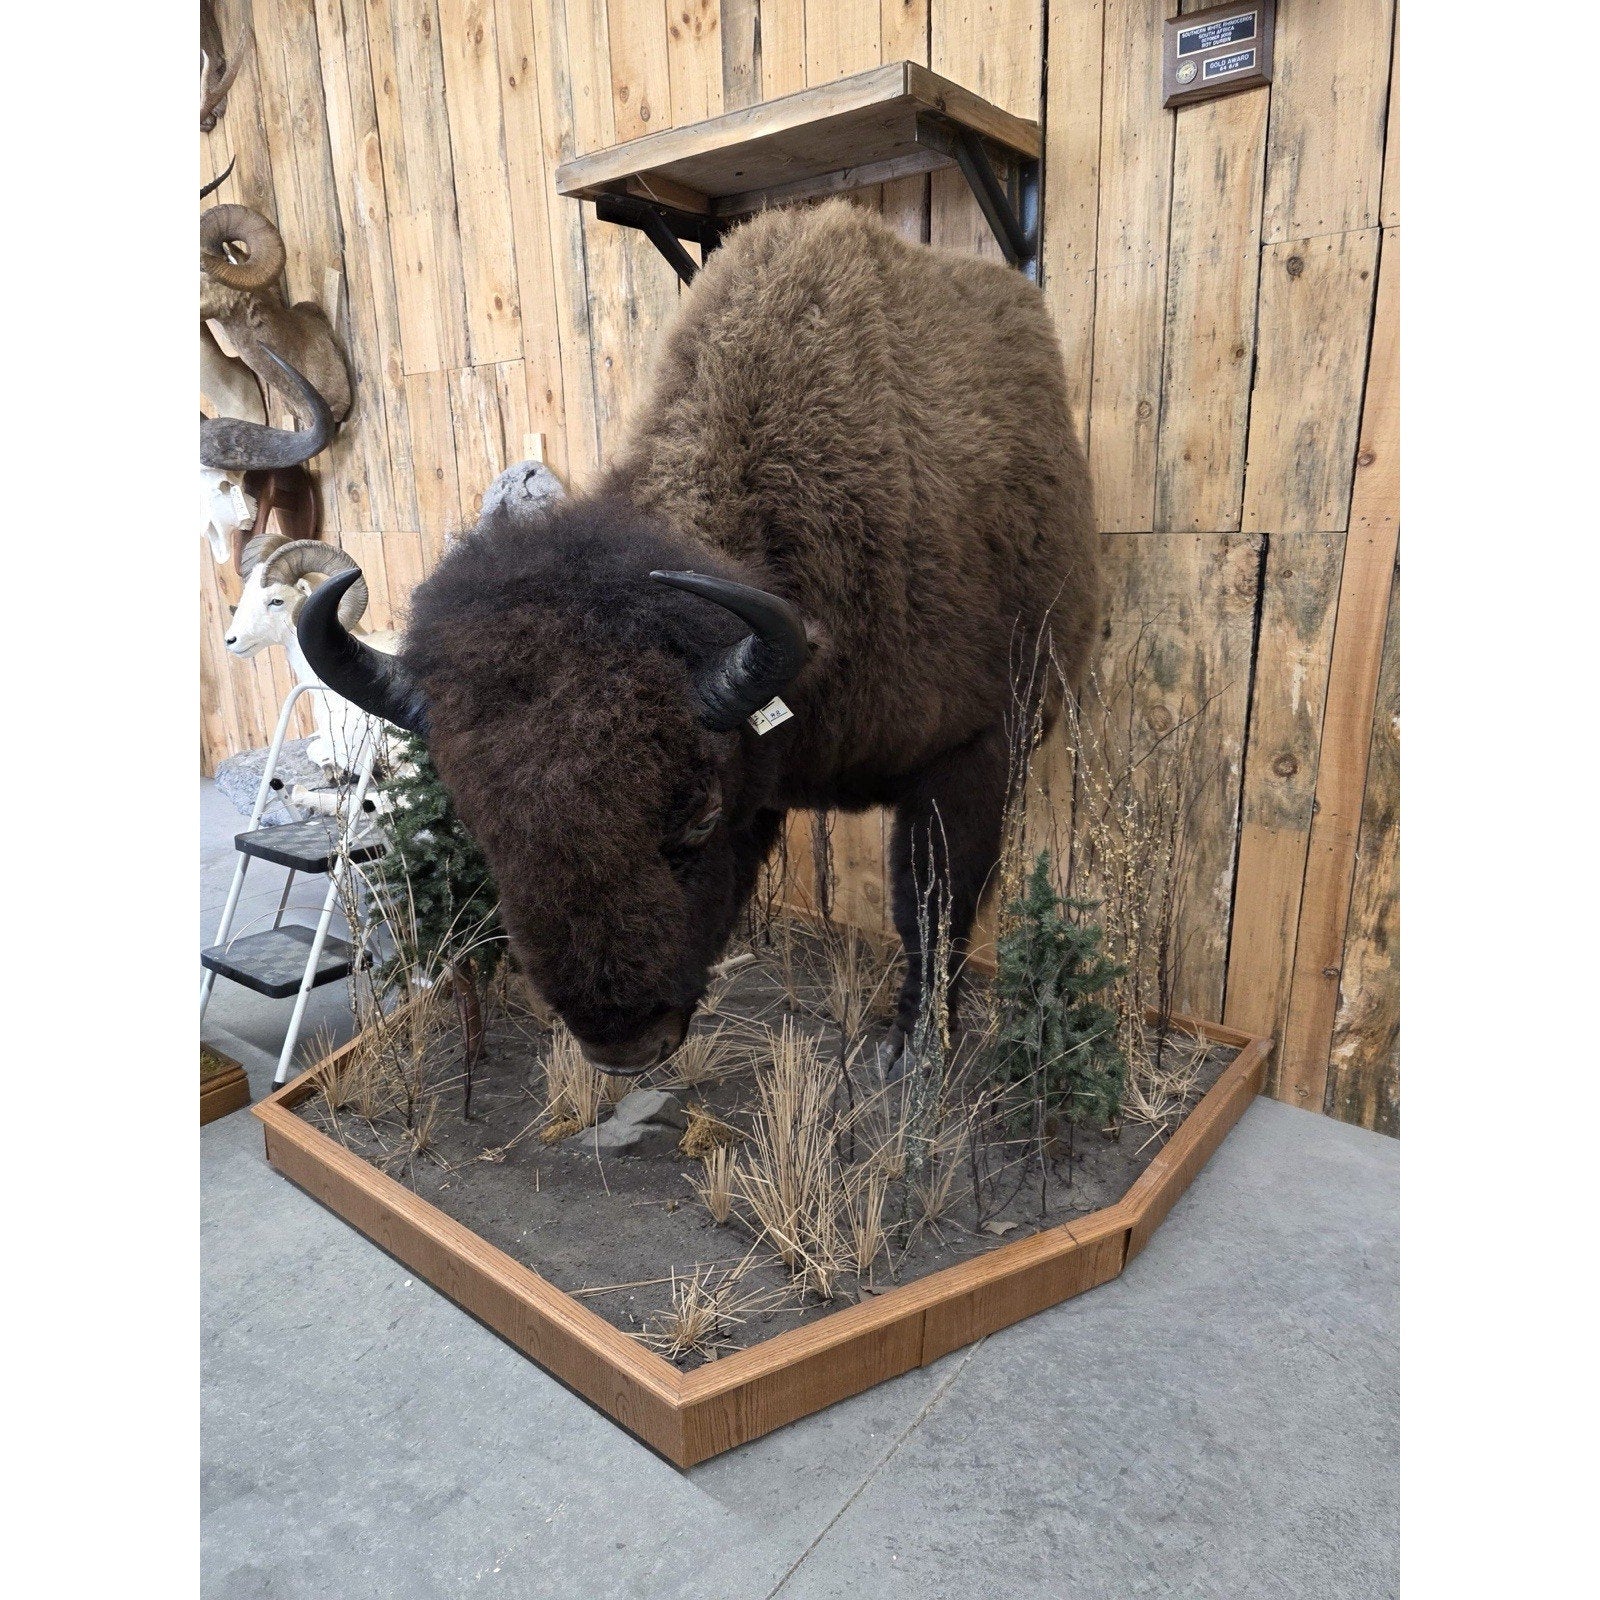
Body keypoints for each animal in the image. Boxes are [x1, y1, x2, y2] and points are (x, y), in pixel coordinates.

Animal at [299, 200, 1100, 1075]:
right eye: (484, 827)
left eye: (699, 818)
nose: (624, 1046)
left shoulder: (965, 756)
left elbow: (929, 905)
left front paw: (913, 1047)